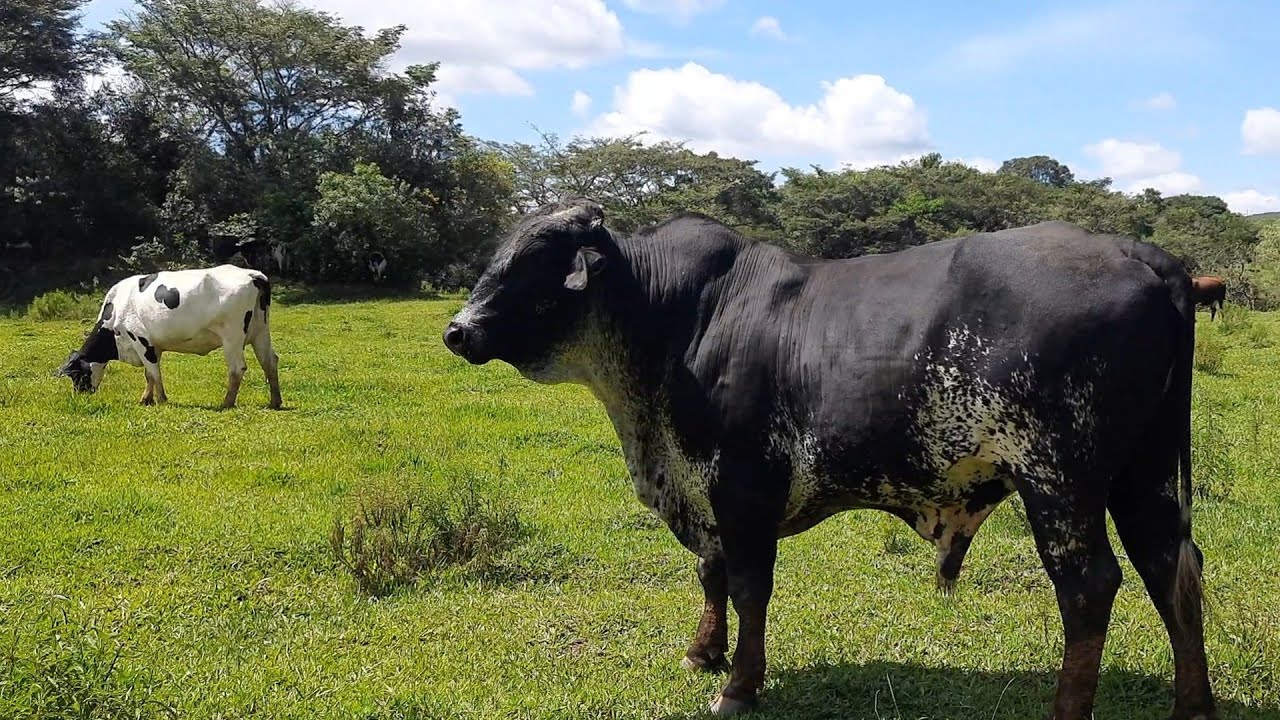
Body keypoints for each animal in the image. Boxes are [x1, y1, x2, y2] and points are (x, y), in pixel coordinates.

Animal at [57, 264, 282, 410]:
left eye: (76, 374)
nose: (80, 395)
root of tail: (253, 275)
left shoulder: (140, 339)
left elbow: (154, 372)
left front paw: (162, 400)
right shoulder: (153, 345)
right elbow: (148, 374)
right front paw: (146, 399)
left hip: (232, 336)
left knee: (237, 368)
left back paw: (226, 403)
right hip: (260, 331)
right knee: (270, 361)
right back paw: (275, 402)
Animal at [442, 198, 1214, 720]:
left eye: (533, 263)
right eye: (497, 255)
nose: (457, 330)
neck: (674, 321)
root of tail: (1142, 255)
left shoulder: (741, 490)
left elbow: (748, 587)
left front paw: (739, 684)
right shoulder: (704, 491)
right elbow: (710, 574)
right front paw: (704, 652)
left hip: (1059, 478)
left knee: (1089, 584)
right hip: (1141, 475)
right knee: (1169, 566)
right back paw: (1193, 705)